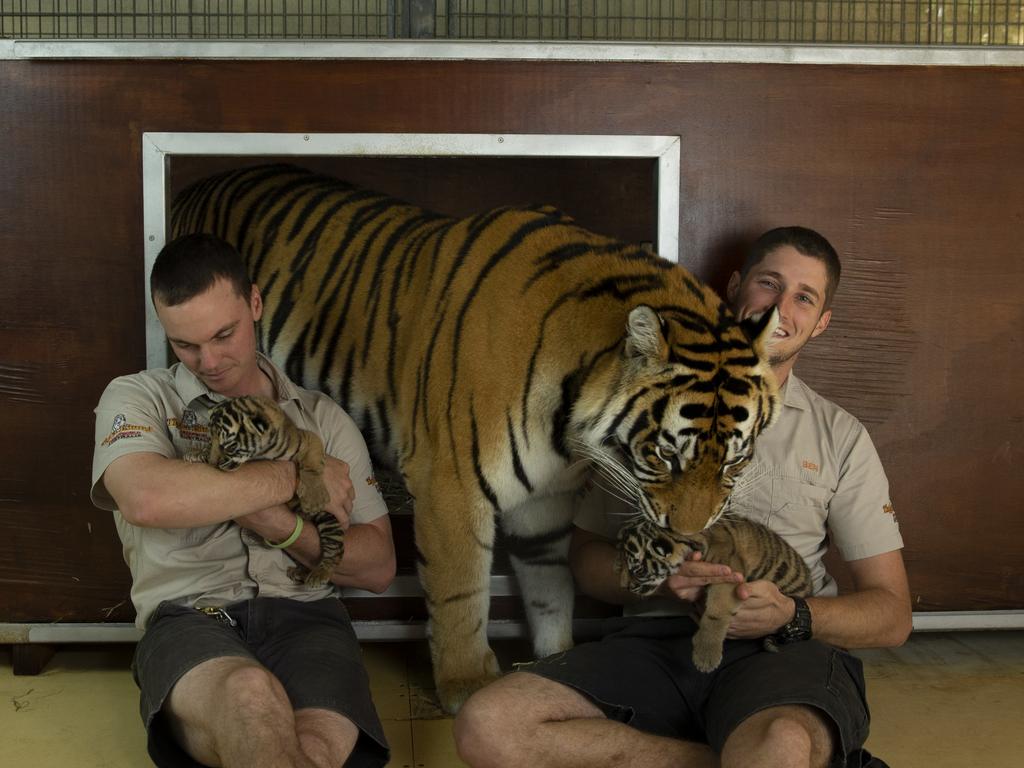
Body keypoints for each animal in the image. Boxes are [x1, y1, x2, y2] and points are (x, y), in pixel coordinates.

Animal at [172, 163, 778, 716]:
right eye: (665, 455)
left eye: (735, 461)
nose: (690, 535)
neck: (570, 425)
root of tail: (203, 182)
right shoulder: (450, 484)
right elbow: (462, 592)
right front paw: (468, 685)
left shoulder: (547, 500)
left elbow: (551, 588)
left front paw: (554, 661)